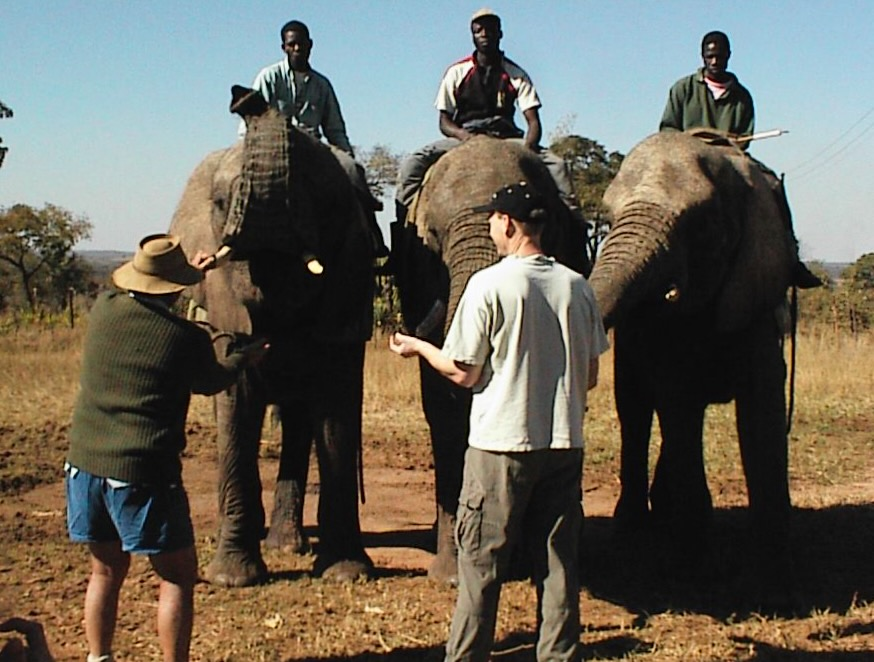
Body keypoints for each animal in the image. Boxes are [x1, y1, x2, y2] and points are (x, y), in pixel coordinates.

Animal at [169, 86, 375, 586]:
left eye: (325, 202)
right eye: (219, 201)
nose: (243, 97)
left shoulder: (349, 285)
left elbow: (336, 412)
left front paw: (346, 575)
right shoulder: (224, 301)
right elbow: (236, 406)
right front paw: (232, 580)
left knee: (300, 421)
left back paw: (287, 544)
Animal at [588, 130, 795, 583]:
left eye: (701, 221)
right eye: (607, 218)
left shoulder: (756, 296)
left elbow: (762, 410)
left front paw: (772, 566)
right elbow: (676, 400)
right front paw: (692, 561)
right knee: (635, 409)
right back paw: (634, 526)